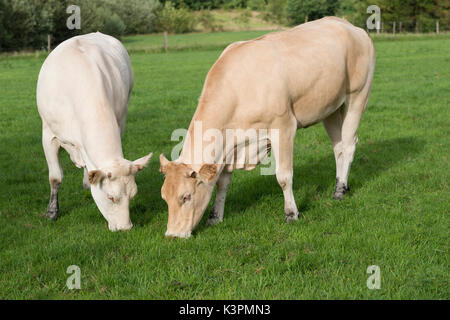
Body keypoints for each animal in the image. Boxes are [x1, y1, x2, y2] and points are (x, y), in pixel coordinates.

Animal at [36, 32, 152, 231]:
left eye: (133, 195)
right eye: (110, 197)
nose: (125, 228)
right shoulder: (48, 135)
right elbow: (55, 178)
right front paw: (52, 213)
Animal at [160, 16, 374, 238]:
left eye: (186, 197)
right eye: (164, 197)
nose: (172, 235)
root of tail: (347, 24)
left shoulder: (284, 127)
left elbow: (284, 176)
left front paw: (291, 213)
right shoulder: (230, 146)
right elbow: (222, 183)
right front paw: (215, 217)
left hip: (358, 96)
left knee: (349, 145)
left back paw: (340, 190)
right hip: (330, 108)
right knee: (338, 148)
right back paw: (340, 185)